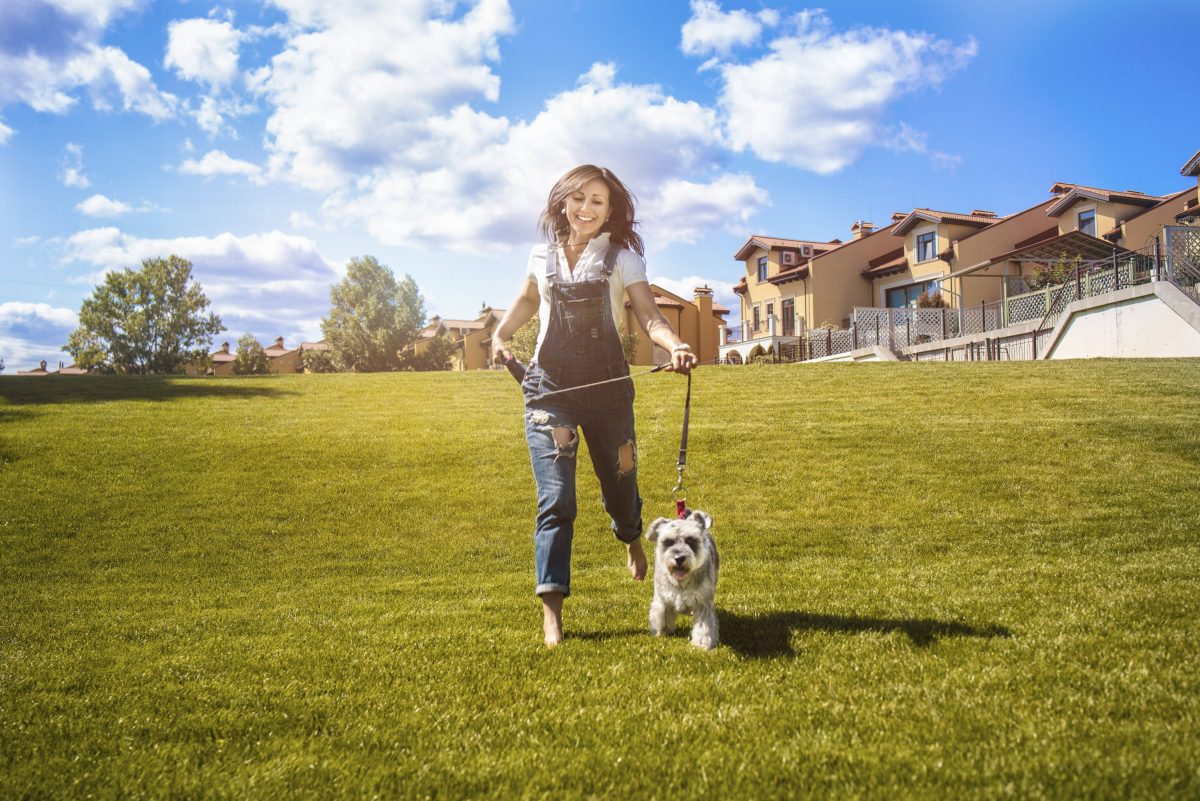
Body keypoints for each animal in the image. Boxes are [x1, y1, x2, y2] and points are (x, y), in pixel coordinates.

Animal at [648, 513, 720, 652]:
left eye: (690, 540)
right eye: (668, 542)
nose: (679, 558)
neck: (681, 582)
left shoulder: (703, 602)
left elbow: (704, 626)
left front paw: (702, 643)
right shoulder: (662, 599)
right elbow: (662, 615)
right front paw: (662, 631)